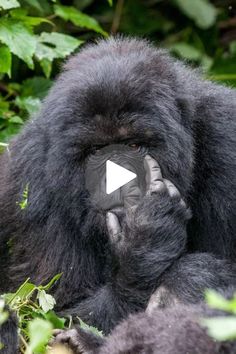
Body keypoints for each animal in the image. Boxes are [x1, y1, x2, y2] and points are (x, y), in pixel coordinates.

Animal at [0, 37, 236, 352]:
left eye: (134, 145)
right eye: (97, 150)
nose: (120, 186)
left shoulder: (227, 139)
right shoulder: (30, 179)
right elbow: (50, 309)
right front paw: (146, 244)